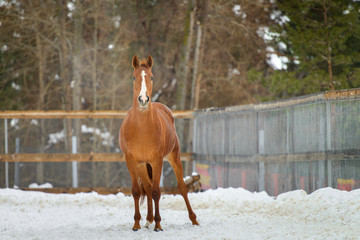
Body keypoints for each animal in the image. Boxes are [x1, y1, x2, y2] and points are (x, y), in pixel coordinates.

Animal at [119, 55, 198, 232]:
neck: (141, 128)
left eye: (152, 77)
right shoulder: (131, 161)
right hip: (143, 166)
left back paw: (194, 219)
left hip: (173, 157)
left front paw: (158, 224)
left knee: (182, 187)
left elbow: (156, 192)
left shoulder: (157, 160)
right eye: (134, 77)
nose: (143, 99)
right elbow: (137, 191)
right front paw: (136, 224)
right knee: (147, 188)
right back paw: (148, 220)